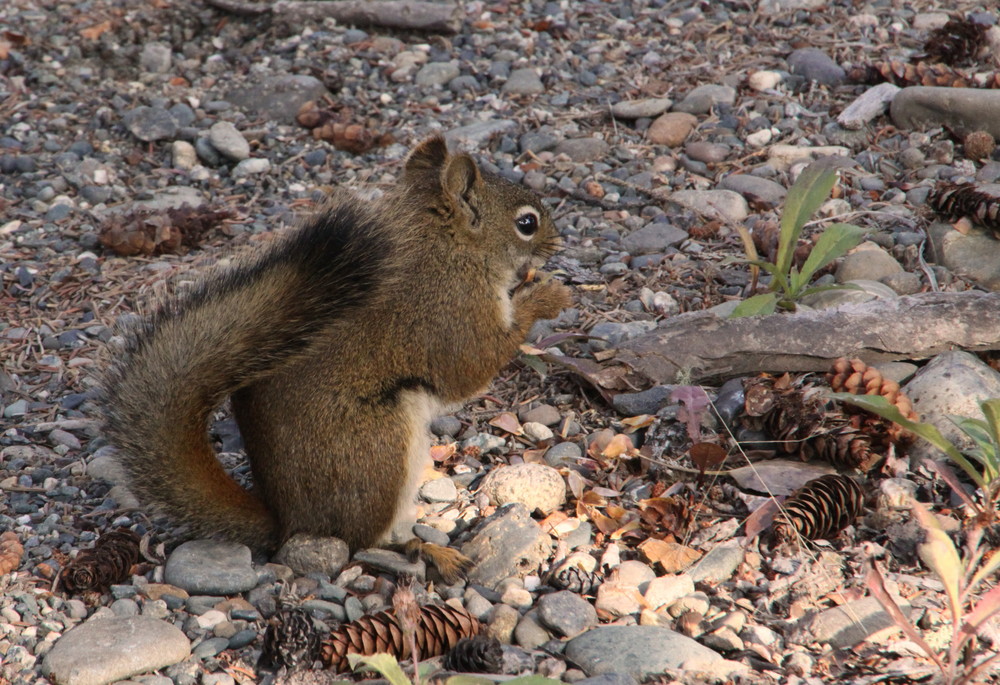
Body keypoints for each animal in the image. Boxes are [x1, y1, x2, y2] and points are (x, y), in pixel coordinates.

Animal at [103, 136, 572, 580]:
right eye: (526, 223)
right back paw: (427, 549)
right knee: (363, 541)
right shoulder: (449, 309)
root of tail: (290, 521)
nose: (558, 242)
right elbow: (470, 366)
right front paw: (544, 296)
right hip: (378, 451)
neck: (446, 244)